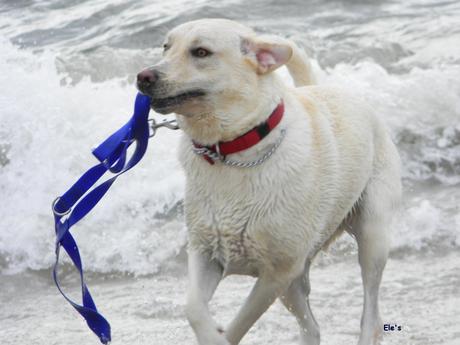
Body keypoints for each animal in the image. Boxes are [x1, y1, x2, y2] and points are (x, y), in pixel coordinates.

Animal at [136, 18, 398, 344]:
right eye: (166, 47)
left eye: (201, 52)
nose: (143, 76)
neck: (229, 151)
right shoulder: (205, 252)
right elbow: (193, 308)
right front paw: (211, 332)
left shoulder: (276, 274)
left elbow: (241, 321)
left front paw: (221, 336)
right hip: (295, 283)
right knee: (312, 327)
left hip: (372, 235)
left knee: (370, 312)